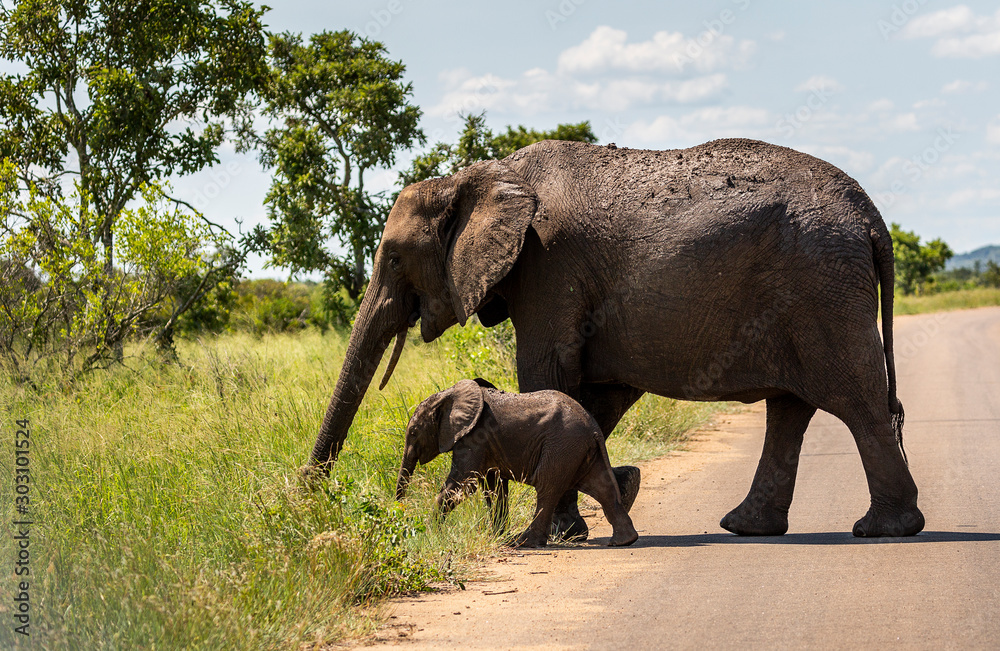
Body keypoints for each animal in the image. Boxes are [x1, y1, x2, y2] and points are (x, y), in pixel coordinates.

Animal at [395, 378, 639, 547]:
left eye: (414, 432)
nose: (399, 510)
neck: (448, 394)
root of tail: (594, 428)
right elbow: (493, 487)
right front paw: (496, 535)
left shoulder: (474, 437)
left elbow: (465, 484)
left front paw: (431, 533)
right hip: (579, 450)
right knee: (602, 487)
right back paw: (623, 541)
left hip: (561, 447)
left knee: (547, 488)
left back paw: (523, 543)